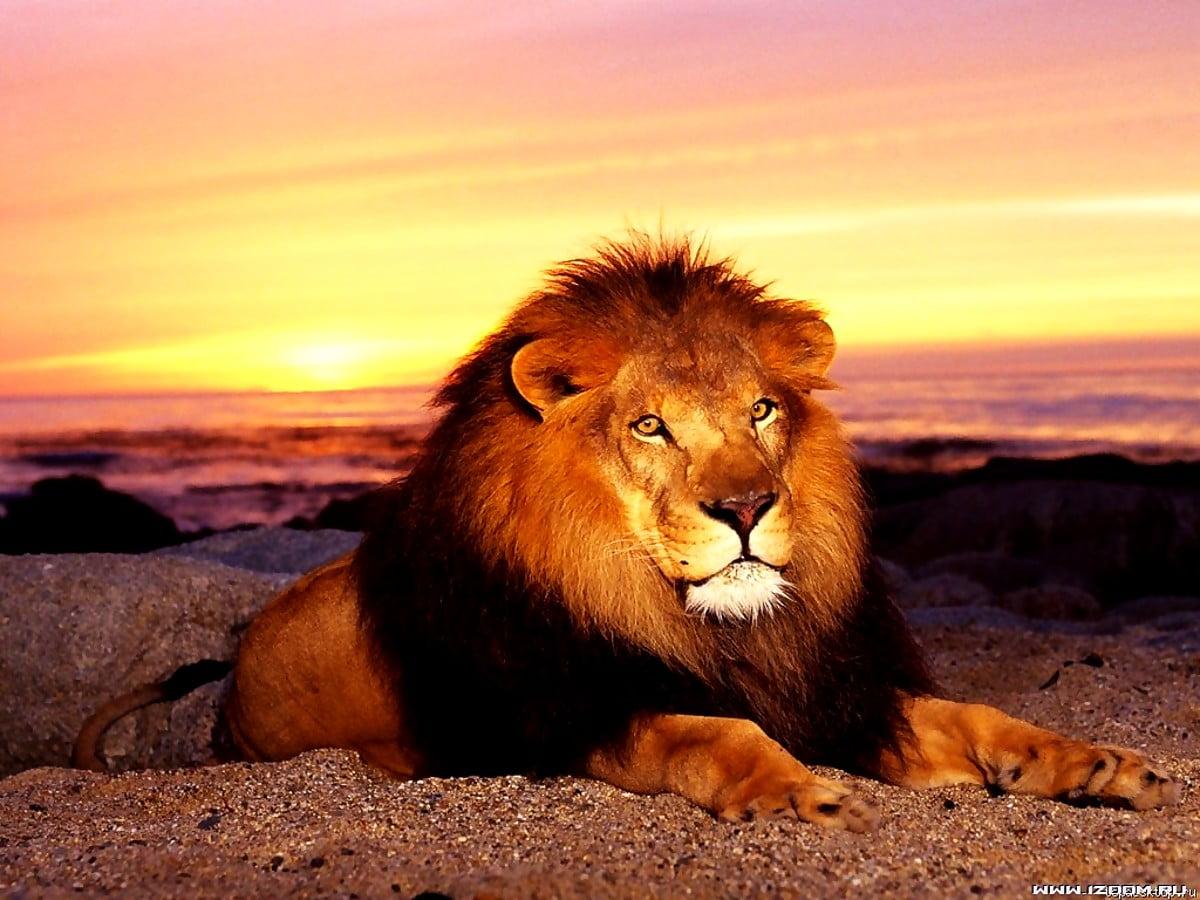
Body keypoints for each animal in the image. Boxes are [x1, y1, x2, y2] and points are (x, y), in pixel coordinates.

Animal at [74, 235, 1179, 829]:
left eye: (762, 411)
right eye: (651, 426)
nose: (746, 510)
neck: (709, 625)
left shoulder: (837, 689)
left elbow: (980, 717)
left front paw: (1095, 764)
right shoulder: (570, 714)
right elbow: (709, 729)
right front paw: (800, 794)